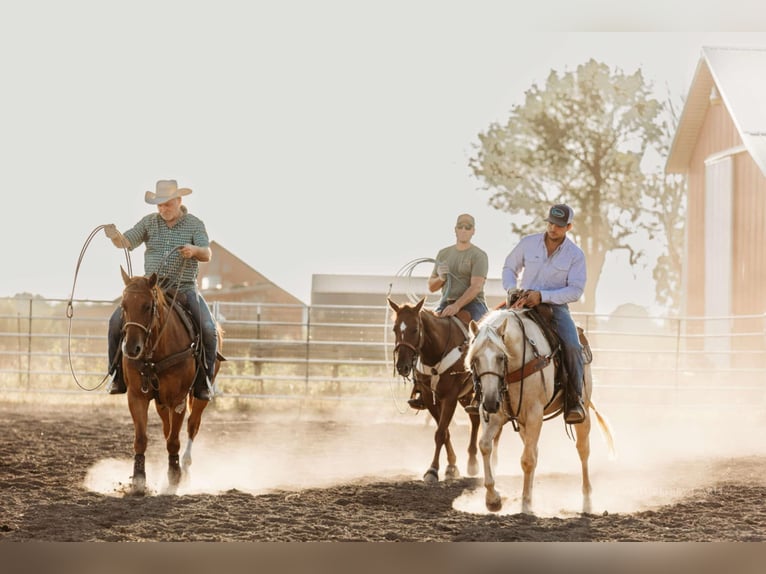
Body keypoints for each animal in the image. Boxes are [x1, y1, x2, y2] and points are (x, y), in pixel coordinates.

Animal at [119, 268, 222, 496]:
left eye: (148, 306)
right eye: (123, 306)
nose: (131, 349)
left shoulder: (178, 399)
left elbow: (175, 441)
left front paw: (174, 477)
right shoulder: (136, 396)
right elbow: (141, 438)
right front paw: (138, 480)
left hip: (201, 394)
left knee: (192, 426)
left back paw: (185, 469)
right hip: (161, 402)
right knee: (167, 429)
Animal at [390, 300, 480, 484]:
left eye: (415, 329)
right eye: (395, 329)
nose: (402, 366)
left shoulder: (450, 397)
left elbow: (440, 433)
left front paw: (432, 470)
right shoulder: (429, 396)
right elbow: (444, 432)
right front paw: (451, 466)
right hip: (465, 395)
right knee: (474, 419)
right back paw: (472, 461)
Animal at [462, 310, 616, 516]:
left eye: (501, 357)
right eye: (475, 359)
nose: (490, 402)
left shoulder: (534, 414)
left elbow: (527, 460)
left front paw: (525, 505)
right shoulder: (495, 414)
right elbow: (485, 446)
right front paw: (493, 499)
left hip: (583, 412)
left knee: (583, 450)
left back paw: (587, 502)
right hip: (522, 423)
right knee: (534, 450)